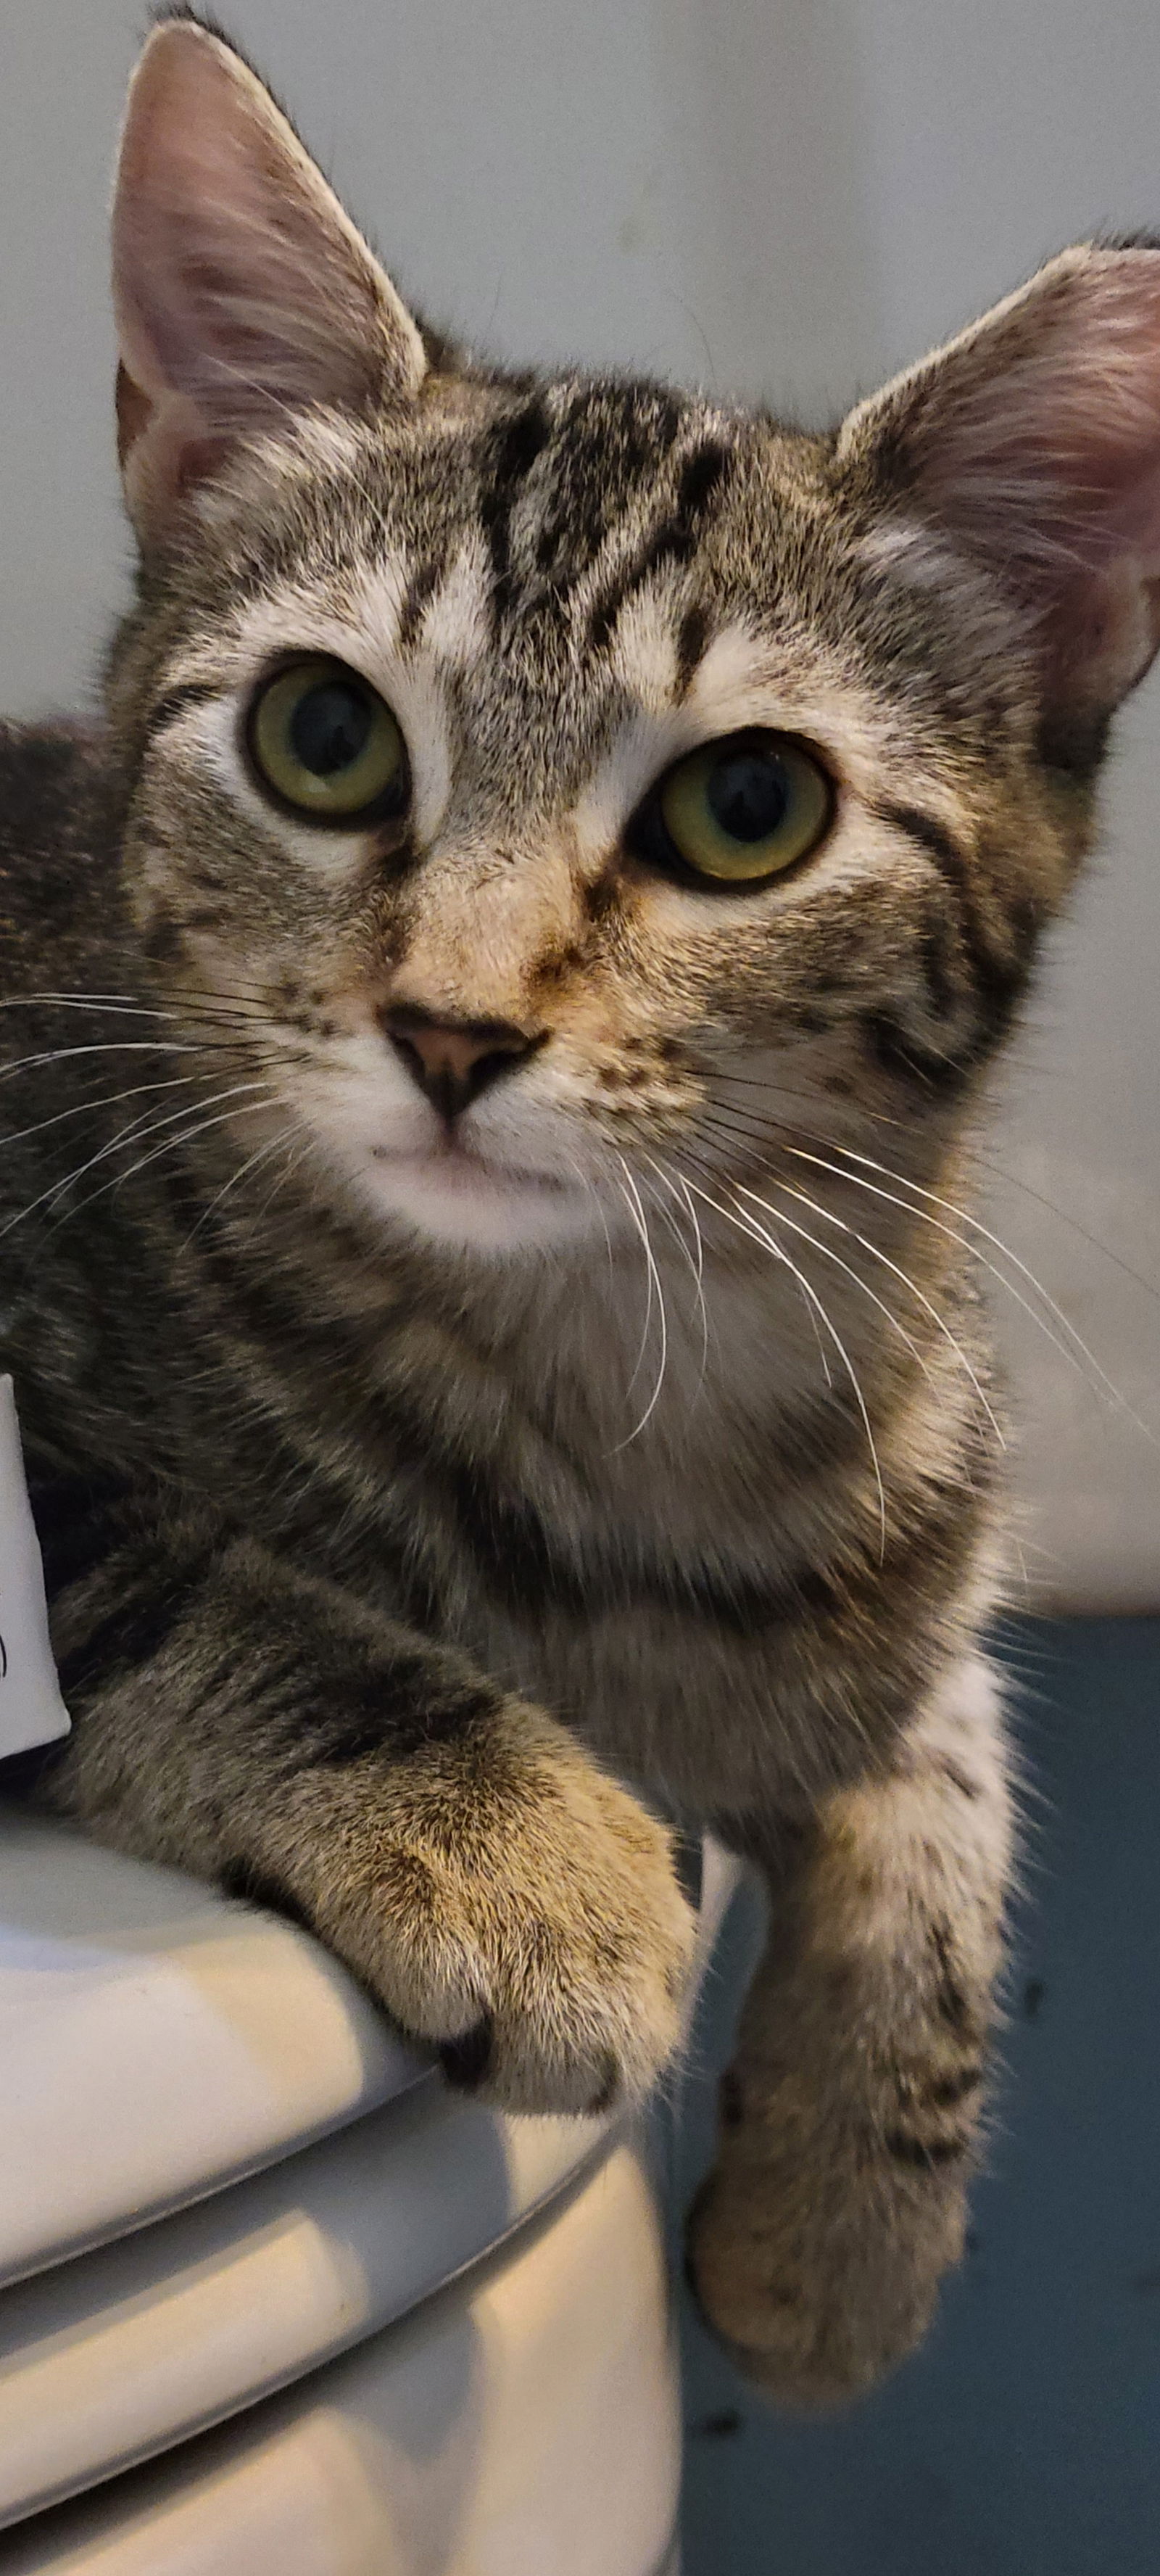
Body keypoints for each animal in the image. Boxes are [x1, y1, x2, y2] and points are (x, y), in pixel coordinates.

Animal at [2, 9, 1160, 2400]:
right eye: (322, 737)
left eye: (747, 807)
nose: (450, 1028)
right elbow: (162, 1552)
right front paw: (514, 1827)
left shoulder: (910, 1515)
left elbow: (946, 1718)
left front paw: (840, 2223)